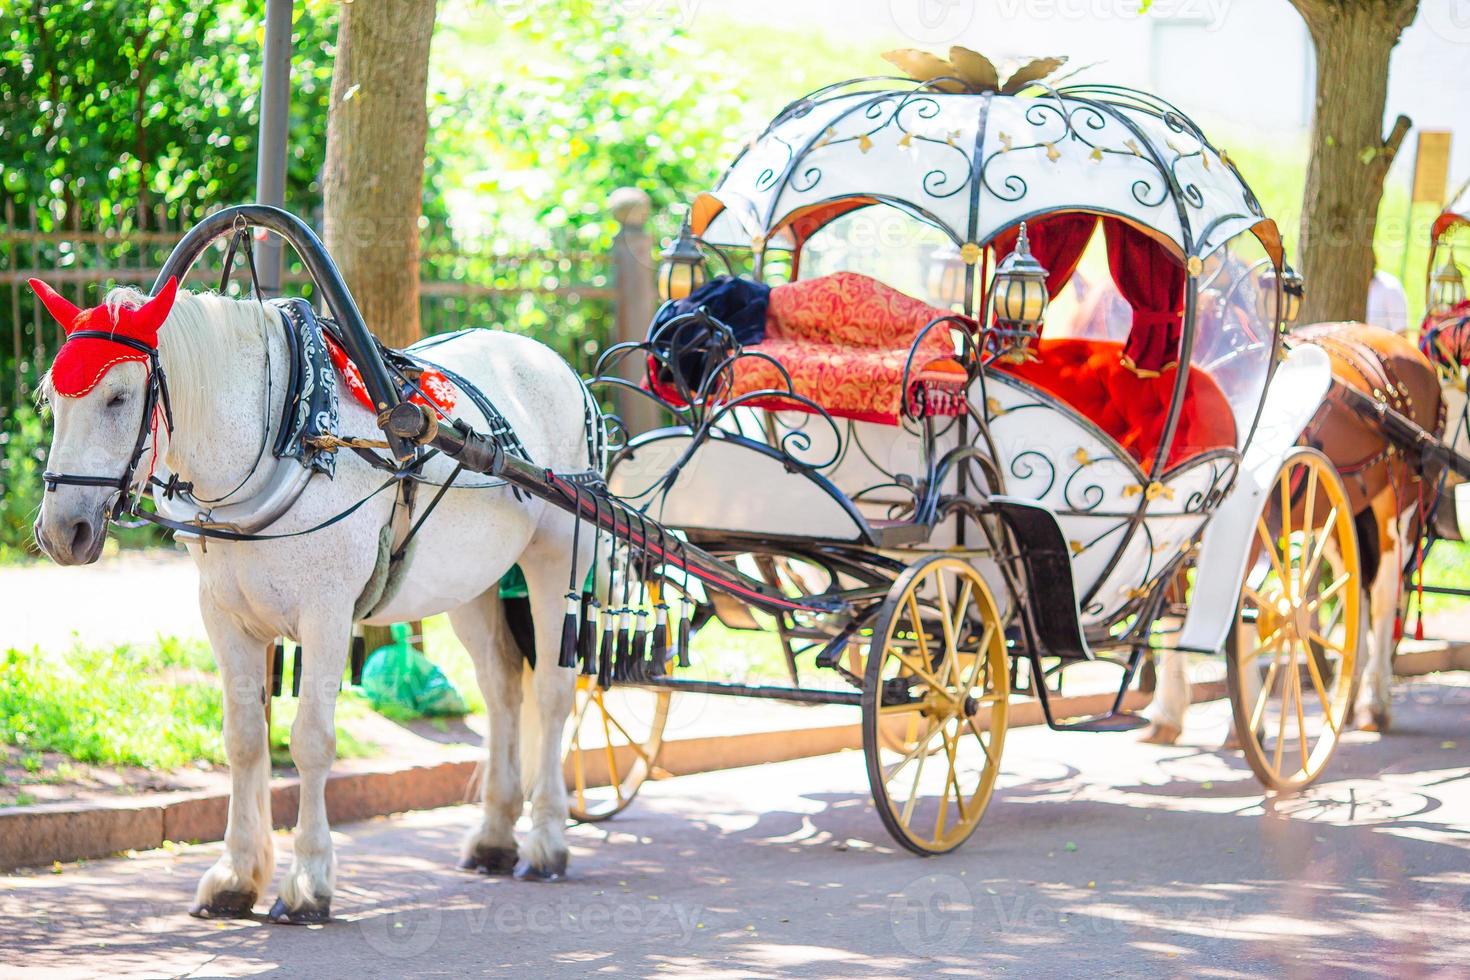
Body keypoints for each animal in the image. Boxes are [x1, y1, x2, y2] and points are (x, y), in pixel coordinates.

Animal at [30, 282, 590, 922]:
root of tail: (553, 363)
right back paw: (496, 835)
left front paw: (309, 881)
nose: (60, 532)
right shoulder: (224, 618)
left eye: (118, 398)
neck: (292, 434)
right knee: (501, 688)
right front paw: (236, 874)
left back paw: (547, 841)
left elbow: (312, 742)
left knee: (551, 692)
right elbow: (244, 739)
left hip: (556, 557)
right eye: (52, 400)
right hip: (470, 584)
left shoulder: (327, 615)